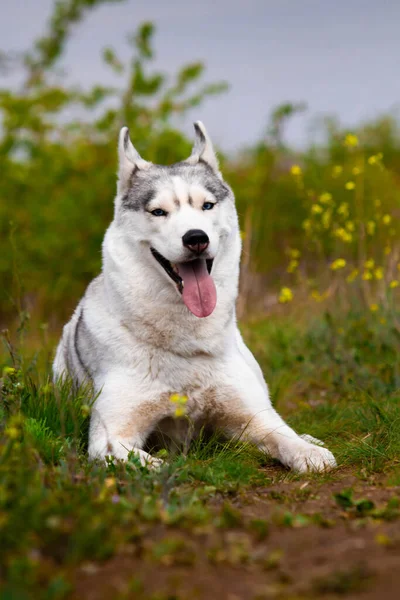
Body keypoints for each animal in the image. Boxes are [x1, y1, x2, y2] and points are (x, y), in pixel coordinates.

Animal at [52, 122, 334, 474]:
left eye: (207, 206)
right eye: (158, 211)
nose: (196, 238)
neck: (186, 343)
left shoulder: (254, 417)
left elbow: (283, 436)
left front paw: (310, 452)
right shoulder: (110, 437)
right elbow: (146, 461)